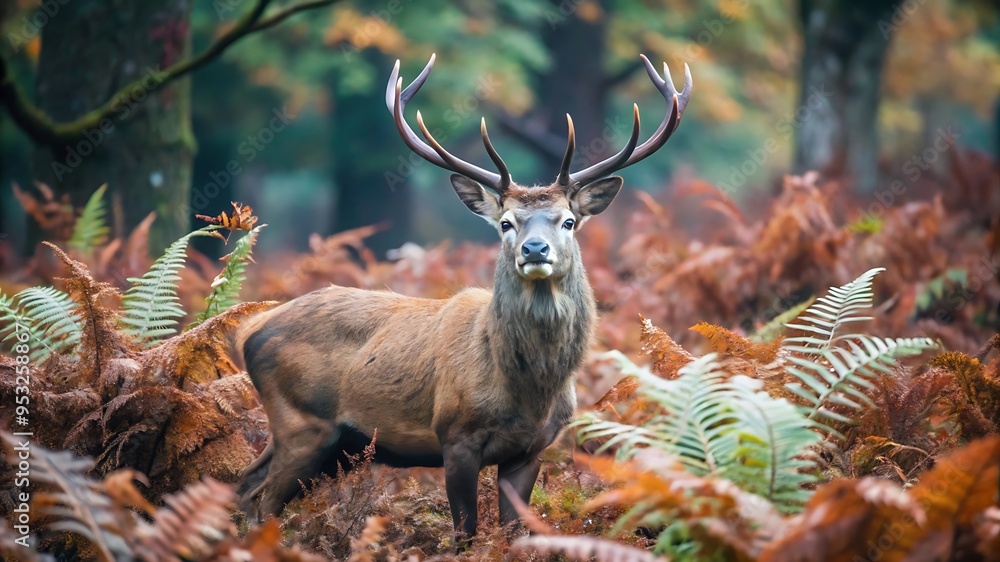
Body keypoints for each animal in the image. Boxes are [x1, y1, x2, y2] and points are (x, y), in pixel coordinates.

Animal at [236, 53, 691, 542]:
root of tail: (250, 329)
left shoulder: (531, 450)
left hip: (335, 445)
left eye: (568, 221)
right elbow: (465, 534)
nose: (534, 249)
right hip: (302, 423)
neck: (530, 391)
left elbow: (514, 534)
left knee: (244, 485)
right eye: (507, 223)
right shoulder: (455, 436)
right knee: (263, 503)